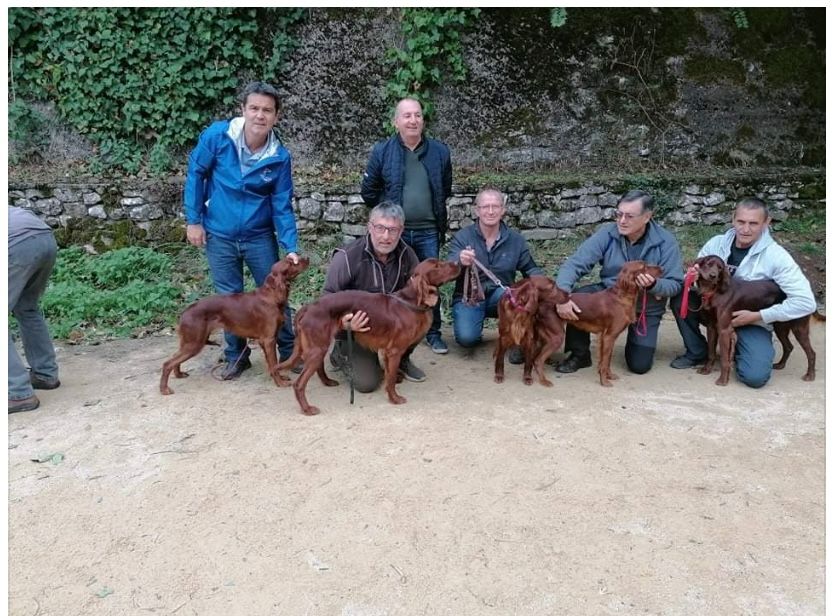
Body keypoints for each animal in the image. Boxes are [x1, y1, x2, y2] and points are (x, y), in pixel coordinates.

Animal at [160, 256, 310, 394]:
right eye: (291, 263)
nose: (307, 258)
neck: (271, 296)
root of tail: (184, 313)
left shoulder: (264, 341)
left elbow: (272, 365)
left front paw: (281, 379)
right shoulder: (268, 340)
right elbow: (273, 364)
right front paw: (280, 383)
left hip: (190, 342)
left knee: (174, 358)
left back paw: (179, 375)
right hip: (194, 343)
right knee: (167, 363)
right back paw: (164, 389)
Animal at [280, 258, 464, 416]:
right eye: (437, 266)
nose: (458, 263)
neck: (410, 302)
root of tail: (307, 307)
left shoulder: (390, 352)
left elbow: (390, 374)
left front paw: (394, 383)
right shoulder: (394, 351)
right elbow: (390, 378)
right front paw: (394, 398)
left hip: (319, 346)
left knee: (318, 367)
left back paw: (327, 382)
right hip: (317, 348)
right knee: (299, 384)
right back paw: (307, 409)